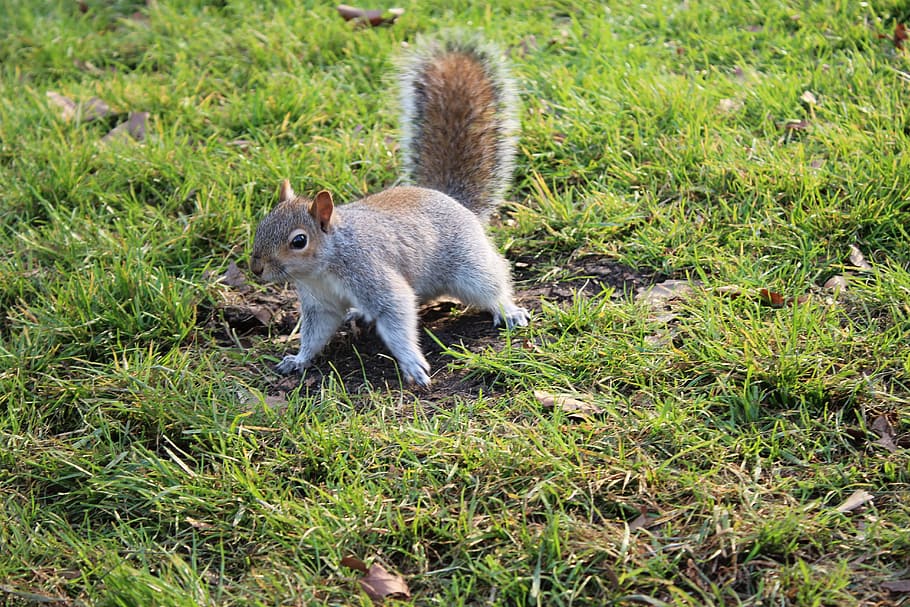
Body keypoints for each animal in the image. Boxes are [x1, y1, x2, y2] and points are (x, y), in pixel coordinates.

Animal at [249, 32, 529, 387]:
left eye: (299, 241)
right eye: (261, 225)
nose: (256, 268)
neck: (324, 267)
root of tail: (448, 198)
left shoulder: (371, 273)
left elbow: (396, 313)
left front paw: (412, 363)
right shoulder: (320, 303)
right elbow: (315, 333)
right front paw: (298, 360)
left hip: (469, 265)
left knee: (491, 283)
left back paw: (508, 310)